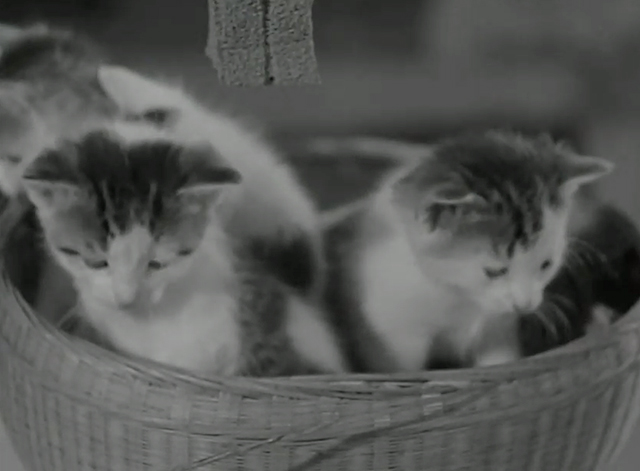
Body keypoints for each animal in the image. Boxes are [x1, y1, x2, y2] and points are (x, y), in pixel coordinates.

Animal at [322, 131, 612, 374]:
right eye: (494, 271)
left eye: (546, 265)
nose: (524, 305)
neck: (458, 297)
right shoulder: (392, 331)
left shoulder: (498, 329)